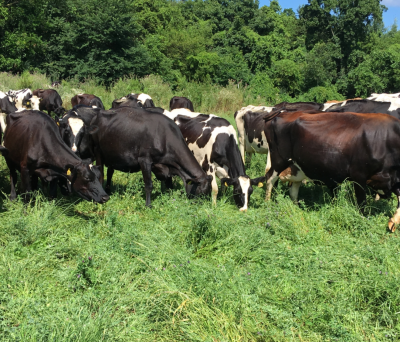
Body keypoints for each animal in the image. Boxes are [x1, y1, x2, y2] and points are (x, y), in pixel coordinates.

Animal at [71, 105, 212, 207]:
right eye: (201, 192)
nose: (199, 207)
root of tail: (97, 115)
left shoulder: (166, 166)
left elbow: (169, 184)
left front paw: (169, 198)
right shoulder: (144, 160)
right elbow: (148, 185)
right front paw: (148, 205)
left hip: (112, 154)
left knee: (110, 172)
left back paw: (108, 189)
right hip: (98, 152)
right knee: (101, 174)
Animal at [264, 109, 400, 231]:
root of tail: (281, 113)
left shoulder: (392, 179)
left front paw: (393, 222)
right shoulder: (359, 176)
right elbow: (361, 202)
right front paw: (362, 221)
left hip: (297, 167)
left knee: (293, 190)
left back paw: (297, 210)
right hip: (279, 159)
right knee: (270, 179)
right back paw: (268, 206)